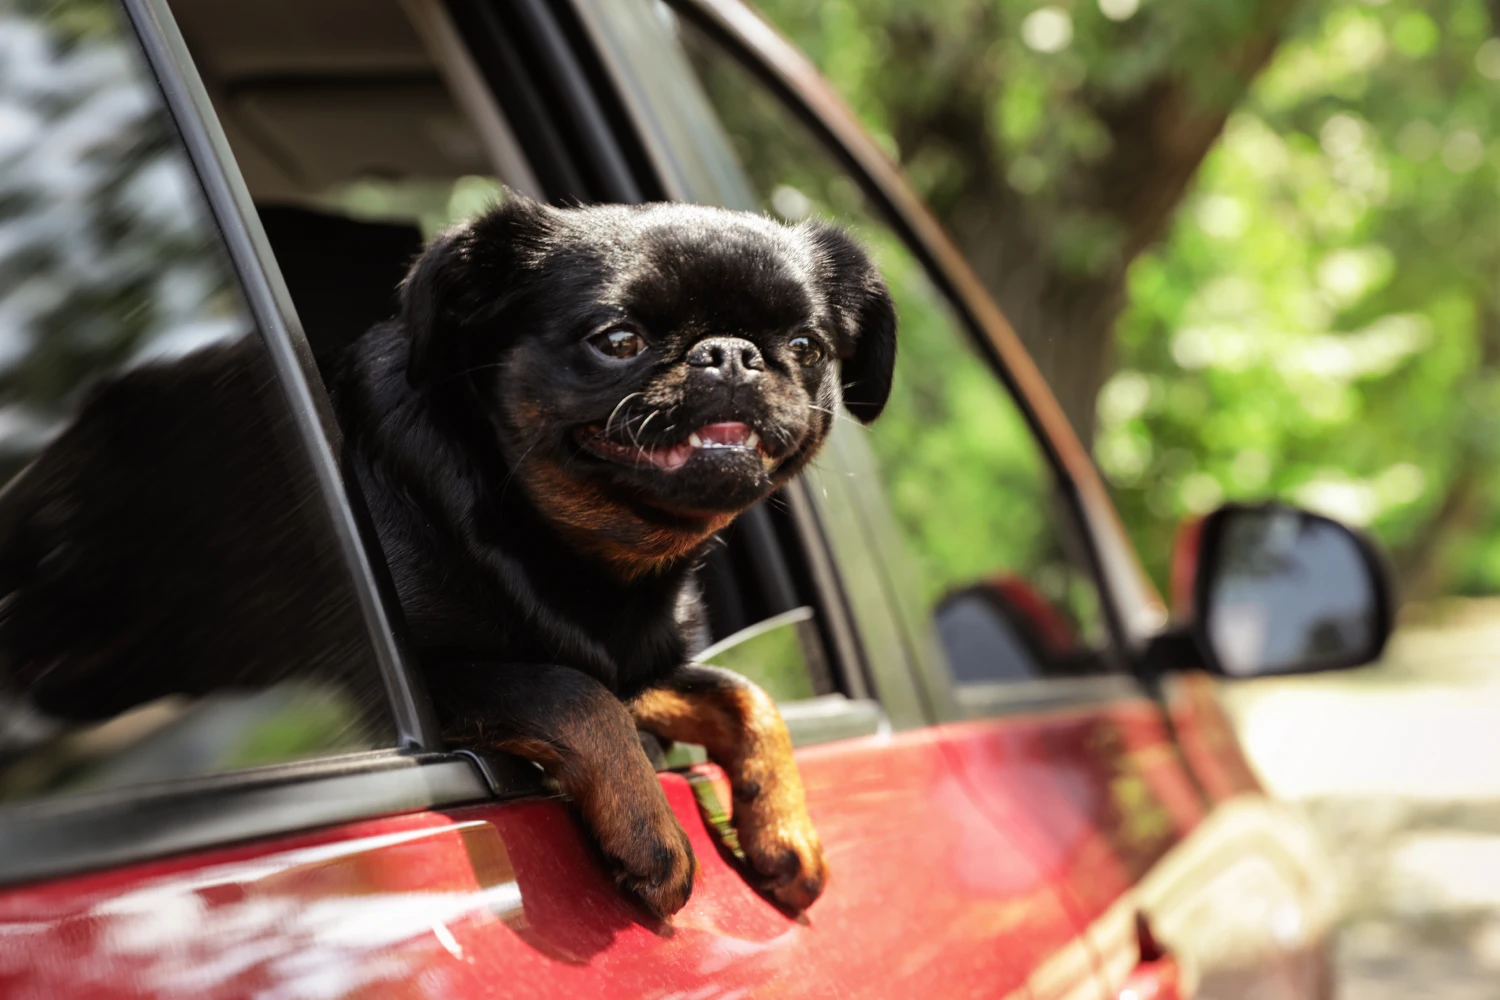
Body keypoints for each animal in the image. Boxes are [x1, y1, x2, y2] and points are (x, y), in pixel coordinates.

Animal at [334, 199, 894, 917]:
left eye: (806, 348)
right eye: (618, 341)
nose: (729, 354)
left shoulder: (642, 673)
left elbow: (739, 691)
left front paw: (784, 831)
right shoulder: (434, 678)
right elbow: (569, 690)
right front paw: (648, 829)